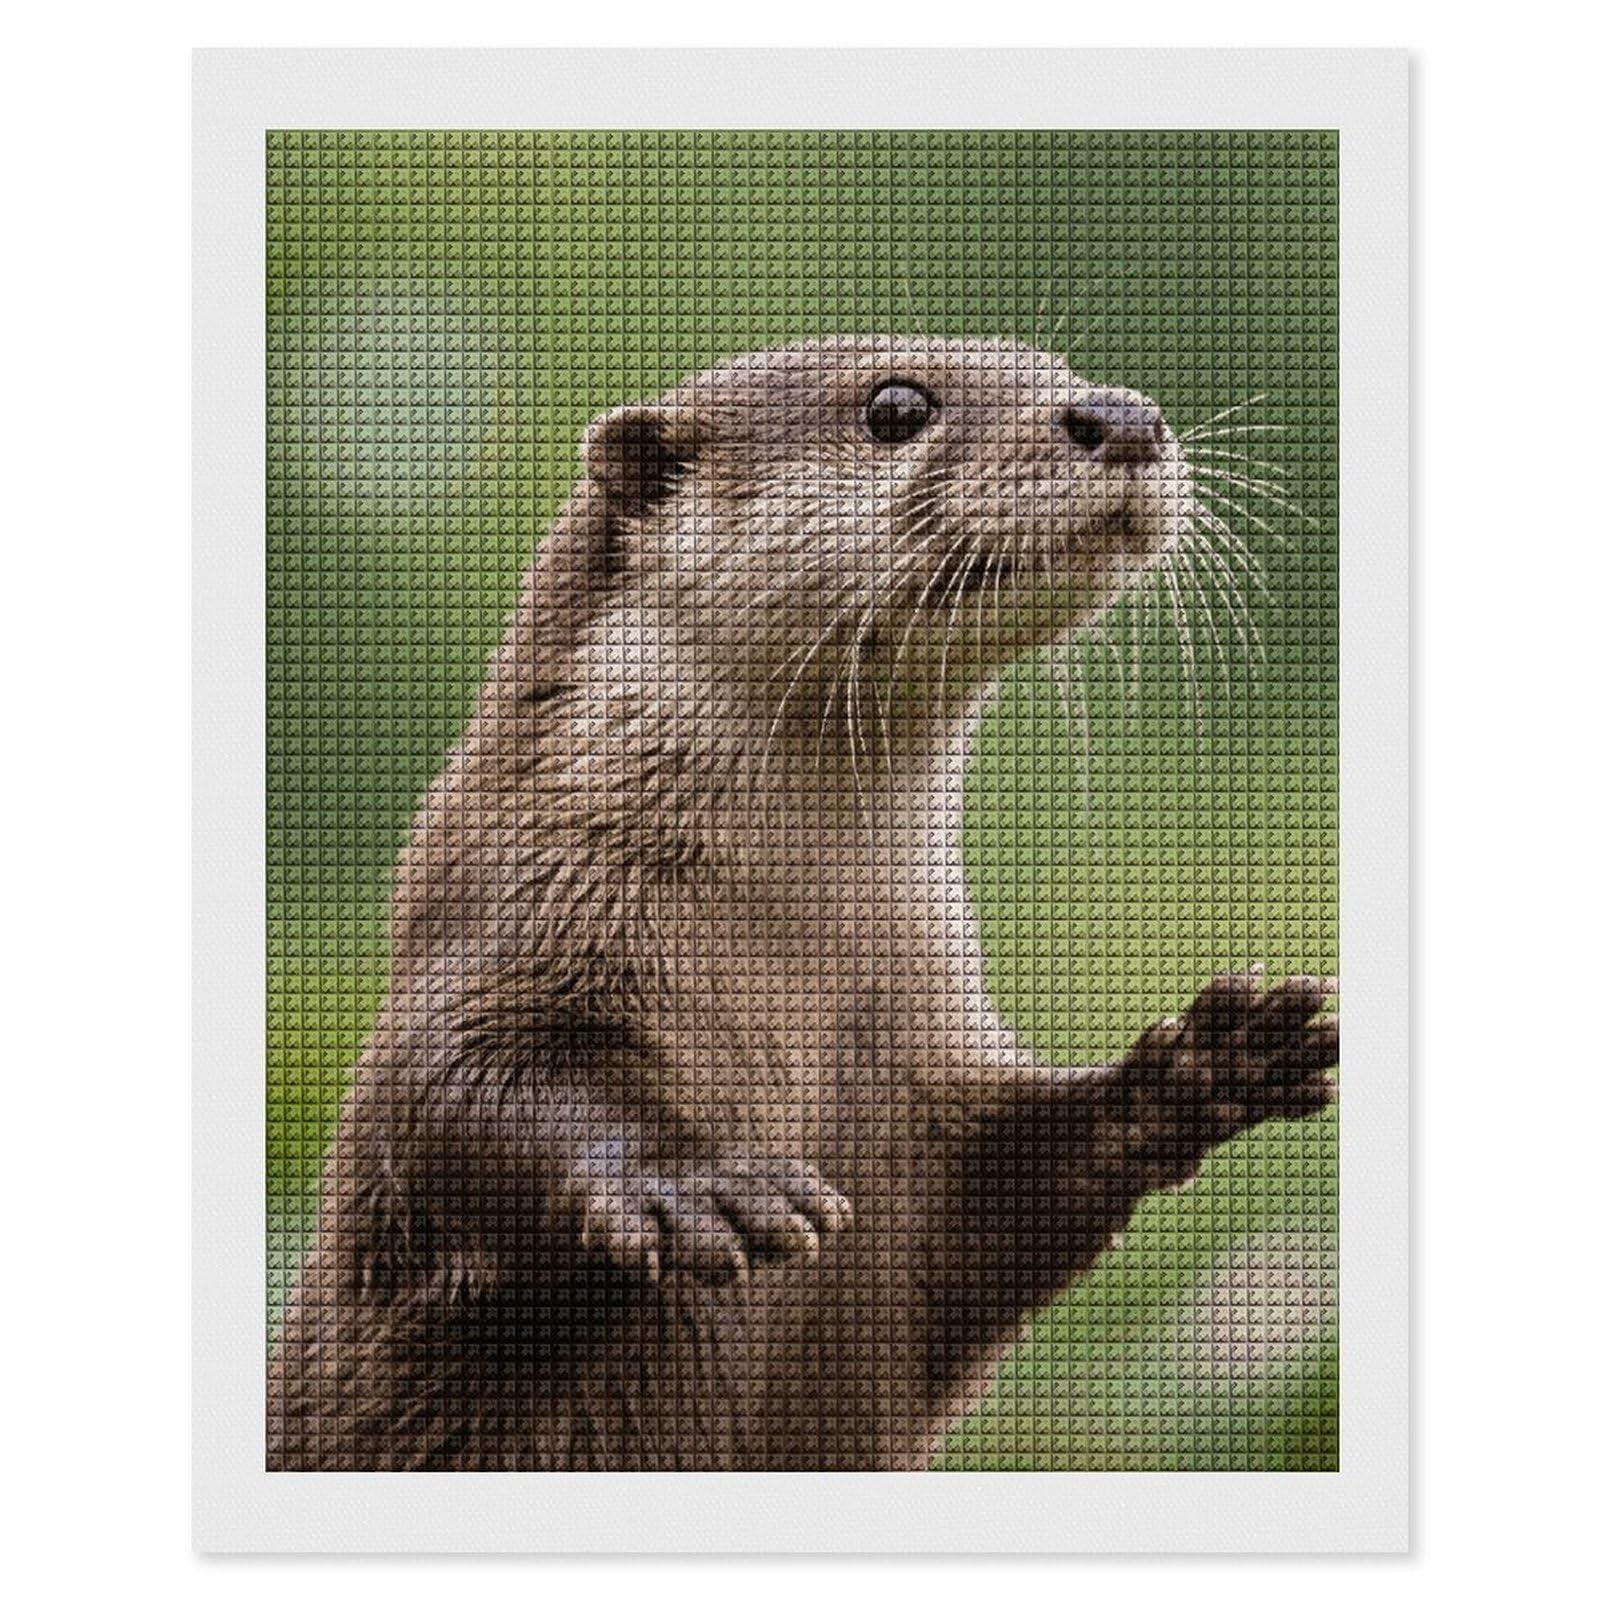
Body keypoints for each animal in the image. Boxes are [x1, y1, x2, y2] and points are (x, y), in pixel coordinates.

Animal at [268, 336, 1337, 1471]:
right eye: (896, 405)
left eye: (1062, 368)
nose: (1124, 415)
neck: (792, 958)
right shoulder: (502, 933)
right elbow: (450, 1097)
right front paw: (692, 1181)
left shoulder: (928, 1078)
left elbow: (1005, 1202)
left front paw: (1201, 1067)